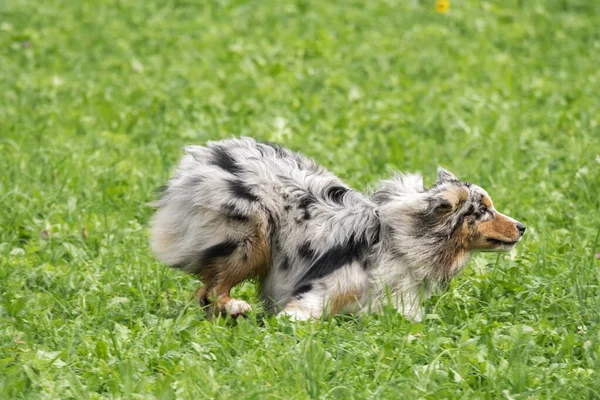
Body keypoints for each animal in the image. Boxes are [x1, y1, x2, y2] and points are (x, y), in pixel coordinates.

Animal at [150, 139, 524, 320]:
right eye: (484, 211)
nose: (522, 227)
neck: (404, 238)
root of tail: (203, 158)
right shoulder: (325, 286)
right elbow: (301, 314)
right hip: (252, 240)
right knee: (212, 290)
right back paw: (237, 308)